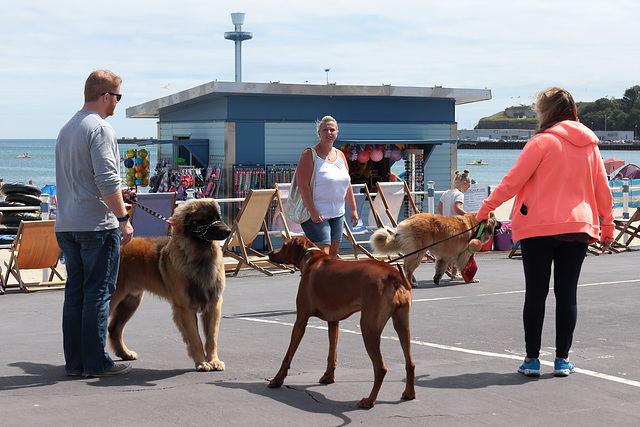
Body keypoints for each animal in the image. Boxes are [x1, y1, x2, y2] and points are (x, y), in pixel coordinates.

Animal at [109, 198, 231, 372]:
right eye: (206, 219)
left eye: (218, 217)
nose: (228, 231)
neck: (198, 255)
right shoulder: (185, 307)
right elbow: (195, 338)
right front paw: (202, 362)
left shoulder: (214, 304)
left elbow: (211, 338)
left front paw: (214, 361)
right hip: (113, 298)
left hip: (130, 302)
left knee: (114, 328)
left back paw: (125, 353)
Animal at [264, 236, 416, 410]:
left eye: (284, 245)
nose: (269, 253)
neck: (311, 259)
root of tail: (393, 274)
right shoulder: (333, 320)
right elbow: (332, 352)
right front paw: (328, 376)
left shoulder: (301, 319)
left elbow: (288, 355)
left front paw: (277, 379)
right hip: (402, 325)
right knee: (410, 363)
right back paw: (409, 393)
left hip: (368, 328)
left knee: (380, 368)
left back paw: (369, 400)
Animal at [370, 211, 500, 288]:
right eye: (496, 220)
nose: (500, 223)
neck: (478, 225)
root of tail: (406, 221)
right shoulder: (464, 254)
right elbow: (465, 266)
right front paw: (471, 278)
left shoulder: (444, 255)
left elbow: (441, 268)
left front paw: (437, 279)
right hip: (418, 252)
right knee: (408, 267)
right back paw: (411, 283)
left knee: (407, 266)